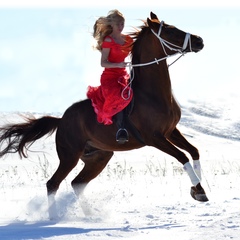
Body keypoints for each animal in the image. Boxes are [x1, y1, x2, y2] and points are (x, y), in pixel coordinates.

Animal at [0, 12, 208, 218]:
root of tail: (61, 120)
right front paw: (198, 191)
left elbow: (194, 151)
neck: (151, 94)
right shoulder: (154, 138)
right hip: (69, 156)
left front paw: (198, 189)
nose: (199, 40)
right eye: (170, 30)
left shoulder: (171, 131)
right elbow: (182, 156)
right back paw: (53, 217)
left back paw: (90, 215)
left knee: (77, 183)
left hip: (99, 157)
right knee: (53, 183)